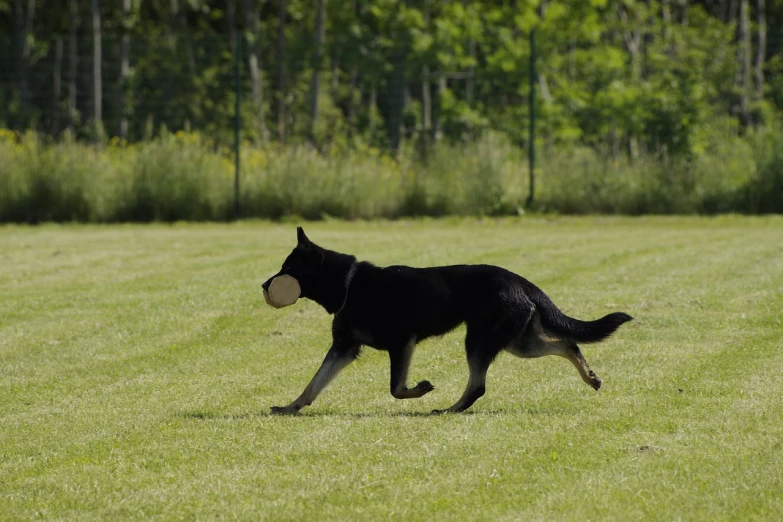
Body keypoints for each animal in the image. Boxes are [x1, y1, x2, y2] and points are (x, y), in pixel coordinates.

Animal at [262, 225, 632, 412]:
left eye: (287, 268)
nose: (265, 285)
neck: (349, 284)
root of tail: (521, 282)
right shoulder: (343, 348)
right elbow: (314, 383)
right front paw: (292, 407)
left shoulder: (402, 343)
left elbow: (396, 389)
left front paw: (421, 389)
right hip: (518, 342)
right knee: (568, 343)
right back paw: (590, 377)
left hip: (480, 340)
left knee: (479, 385)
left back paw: (449, 408)